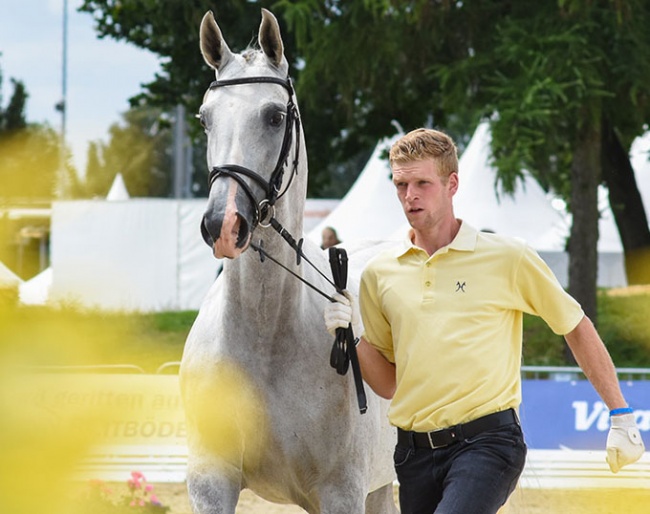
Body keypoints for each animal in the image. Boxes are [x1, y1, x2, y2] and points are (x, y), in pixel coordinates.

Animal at [180, 8, 398, 512]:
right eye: (204, 119)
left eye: (275, 116)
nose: (222, 224)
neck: (265, 341)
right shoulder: (211, 482)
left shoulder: (340, 492)